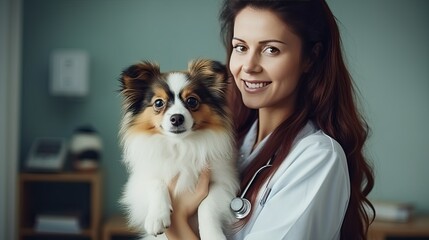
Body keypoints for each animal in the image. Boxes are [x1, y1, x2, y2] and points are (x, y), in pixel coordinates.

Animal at [118, 58, 237, 240]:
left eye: (192, 101)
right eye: (158, 103)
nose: (176, 118)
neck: (180, 145)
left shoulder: (223, 182)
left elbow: (207, 205)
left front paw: (212, 235)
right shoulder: (139, 181)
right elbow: (156, 182)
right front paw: (157, 217)